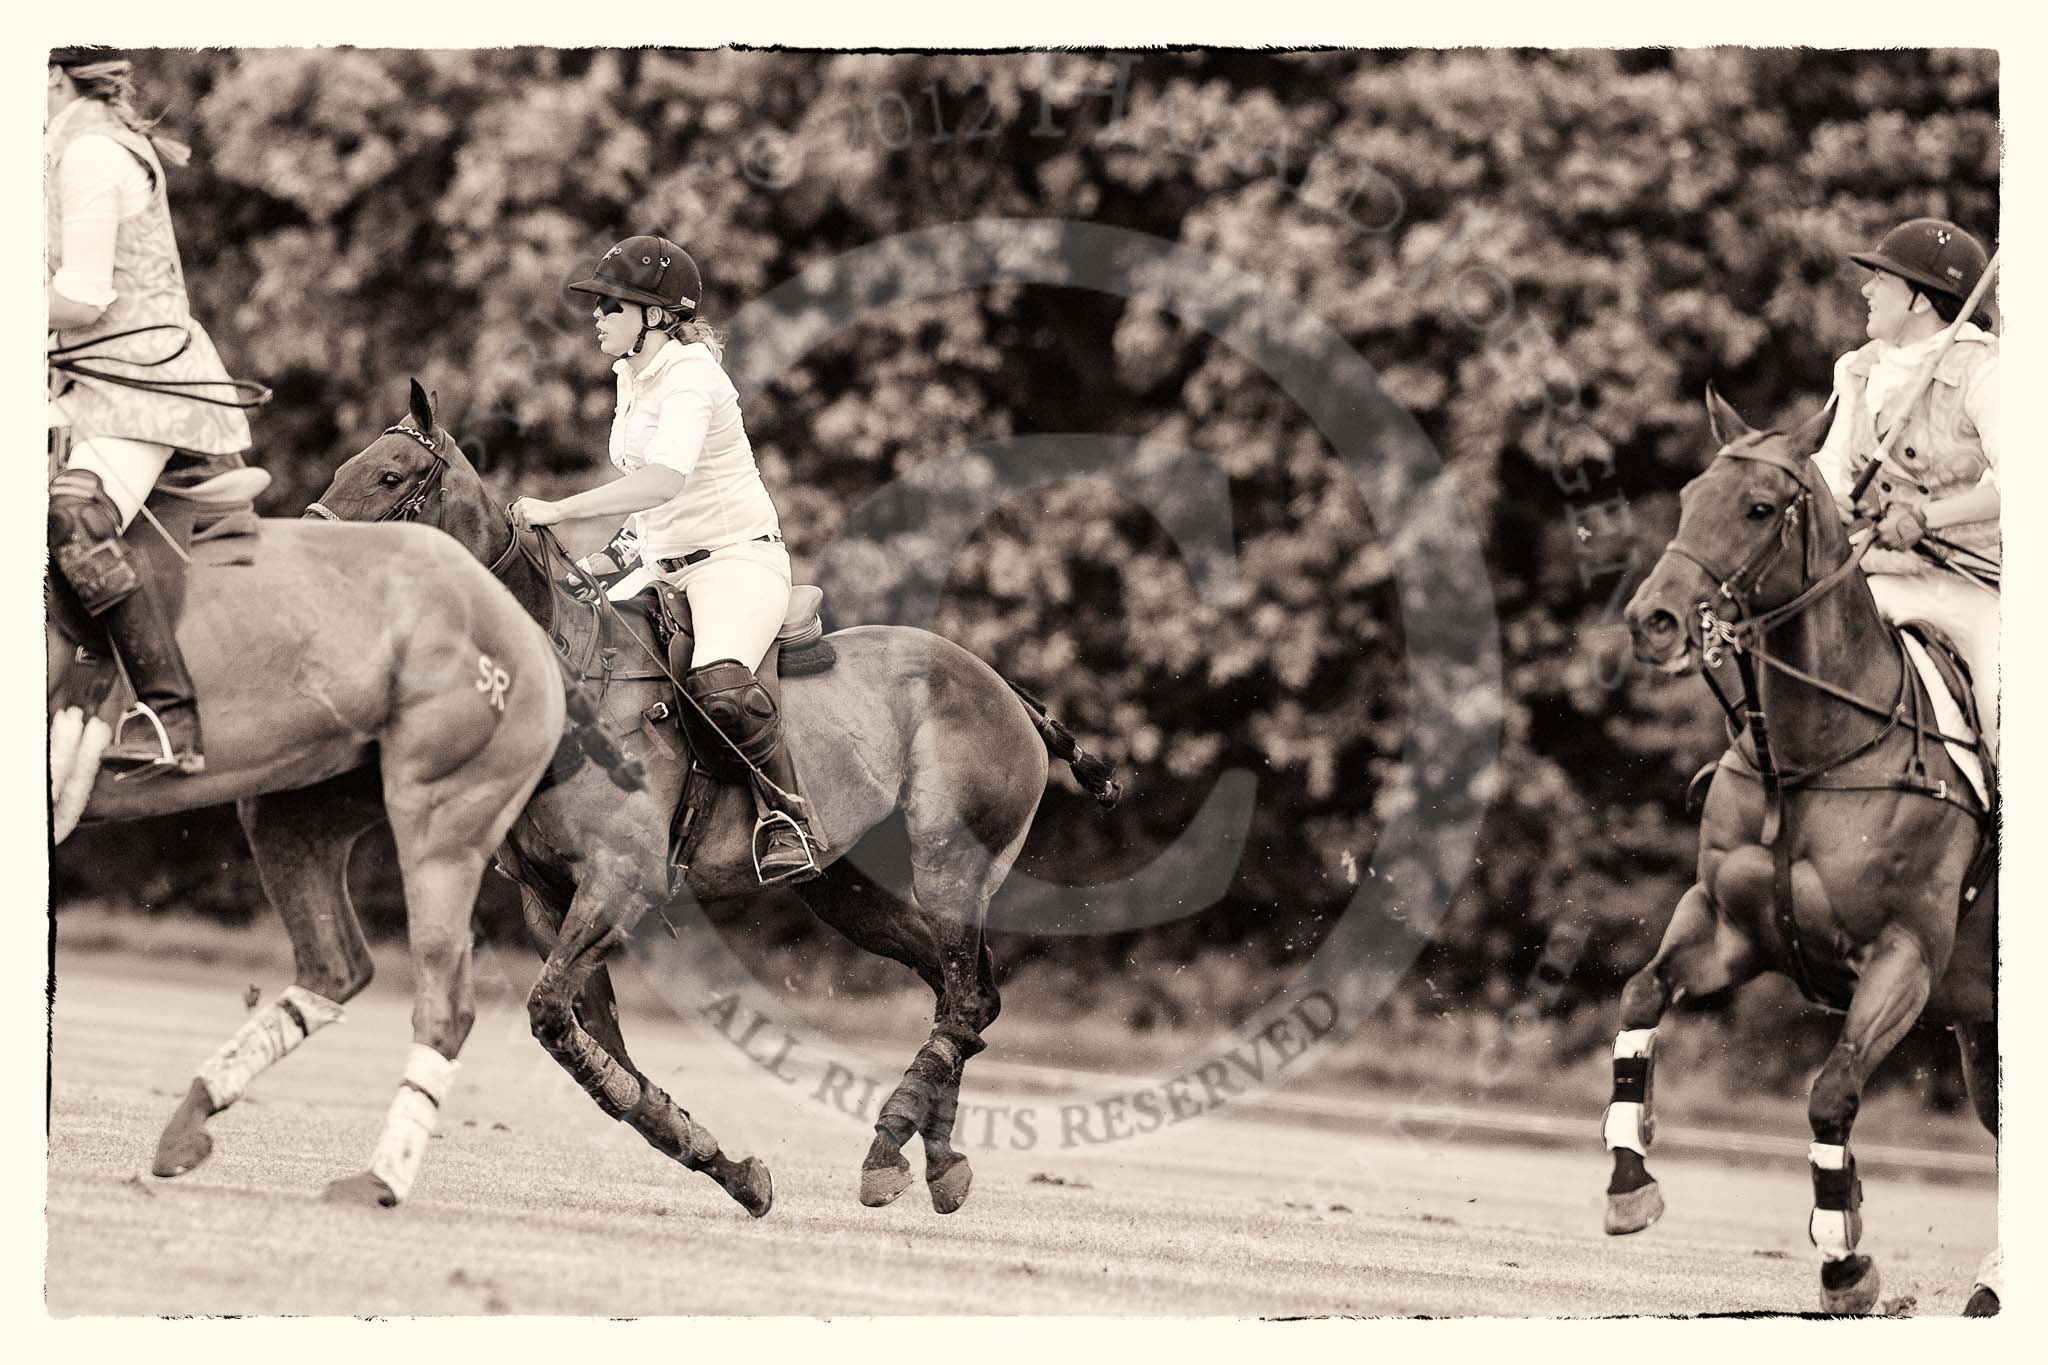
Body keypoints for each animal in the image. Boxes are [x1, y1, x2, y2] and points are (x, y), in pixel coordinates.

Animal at [54, 472, 585, 1203]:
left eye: (390, 477)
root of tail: (529, 636)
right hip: (291, 808)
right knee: (338, 964)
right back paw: (189, 1125)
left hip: (443, 819)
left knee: (444, 1001)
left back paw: (378, 1180)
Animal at [307, 382, 1122, 1219]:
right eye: (346, 467)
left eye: (391, 476)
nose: (315, 558)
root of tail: (1010, 693)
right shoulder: (547, 899)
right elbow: (598, 1053)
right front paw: (727, 1165)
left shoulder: (619, 882)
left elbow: (554, 1020)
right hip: (852, 889)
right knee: (968, 995)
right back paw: (936, 1159)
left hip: (951, 862)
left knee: (963, 997)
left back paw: (892, 1148)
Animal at [1605, 388, 1990, 1317]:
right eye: (1687, 495)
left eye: (1756, 508)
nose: (1651, 621)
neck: (1816, 756)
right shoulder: (1727, 924)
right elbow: (1640, 993)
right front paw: (1630, 1182)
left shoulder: (1905, 955)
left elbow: (1832, 1092)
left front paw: (1845, 1261)